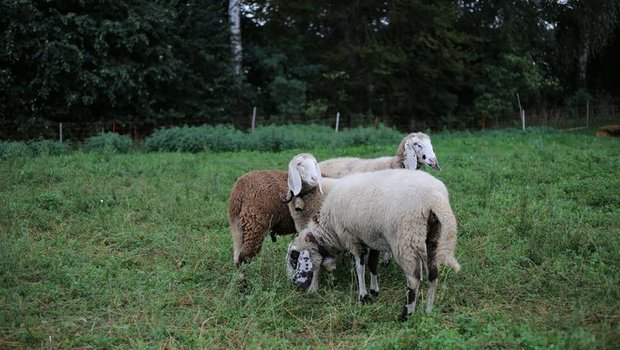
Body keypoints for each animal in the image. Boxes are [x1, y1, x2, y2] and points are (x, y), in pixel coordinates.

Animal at [288, 168, 458, 322]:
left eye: (294, 256)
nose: (293, 282)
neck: (329, 228)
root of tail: (435, 197)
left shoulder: (353, 239)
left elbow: (360, 268)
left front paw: (362, 297)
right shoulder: (372, 238)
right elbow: (372, 265)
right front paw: (374, 291)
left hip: (405, 238)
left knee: (413, 279)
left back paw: (405, 315)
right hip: (433, 237)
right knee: (433, 274)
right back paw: (428, 310)